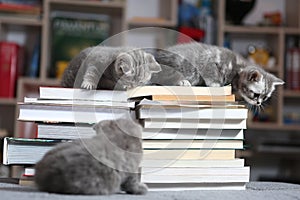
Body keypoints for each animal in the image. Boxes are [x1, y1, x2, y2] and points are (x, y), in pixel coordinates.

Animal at [152, 42, 284, 106]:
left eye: (265, 97)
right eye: (256, 94)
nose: (258, 103)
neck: (238, 68)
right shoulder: (209, 60)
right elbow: (211, 72)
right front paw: (215, 84)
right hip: (181, 65)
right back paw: (182, 81)